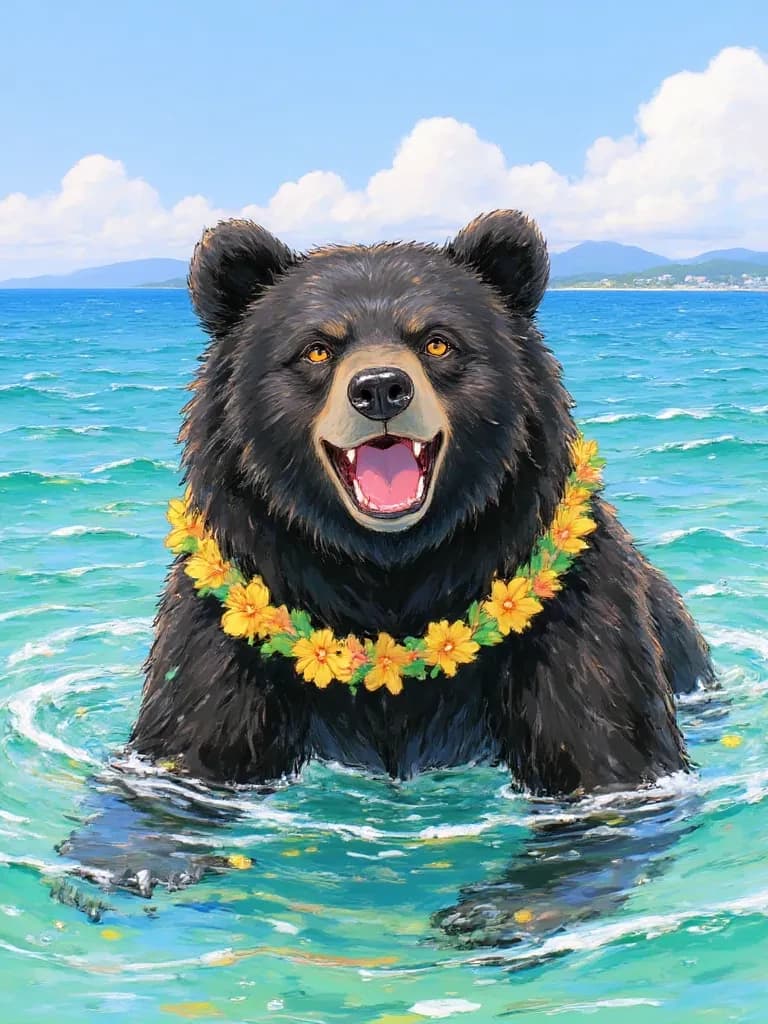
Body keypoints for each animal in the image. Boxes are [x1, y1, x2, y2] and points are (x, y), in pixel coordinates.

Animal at [130, 210, 714, 797]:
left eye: (437, 343)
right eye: (317, 348)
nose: (380, 388)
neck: (394, 574)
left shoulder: (575, 622)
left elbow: (606, 745)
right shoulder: (228, 630)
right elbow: (195, 744)